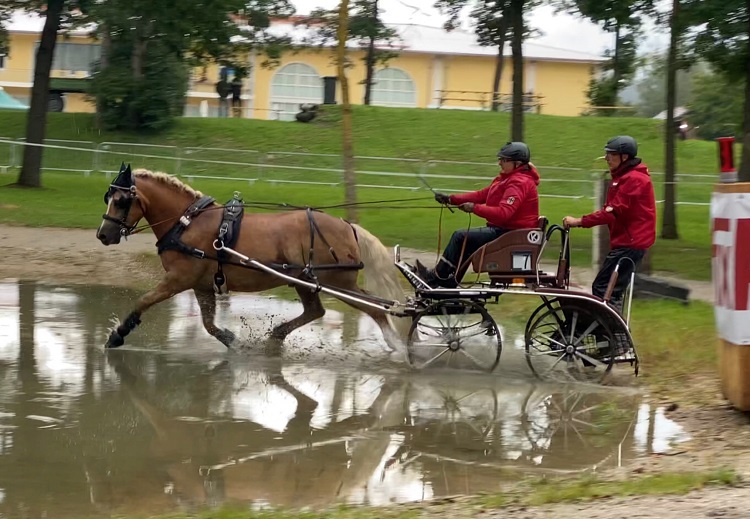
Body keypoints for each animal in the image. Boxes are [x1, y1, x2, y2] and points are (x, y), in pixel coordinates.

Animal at [97, 165, 412, 356]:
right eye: (107, 198)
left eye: (121, 201)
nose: (103, 234)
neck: (187, 223)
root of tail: (348, 226)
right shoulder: (201, 284)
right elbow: (208, 324)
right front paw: (232, 341)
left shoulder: (178, 279)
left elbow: (144, 300)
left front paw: (118, 334)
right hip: (306, 281)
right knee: (317, 311)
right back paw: (275, 337)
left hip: (334, 281)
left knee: (373, 308)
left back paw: (398, 346)